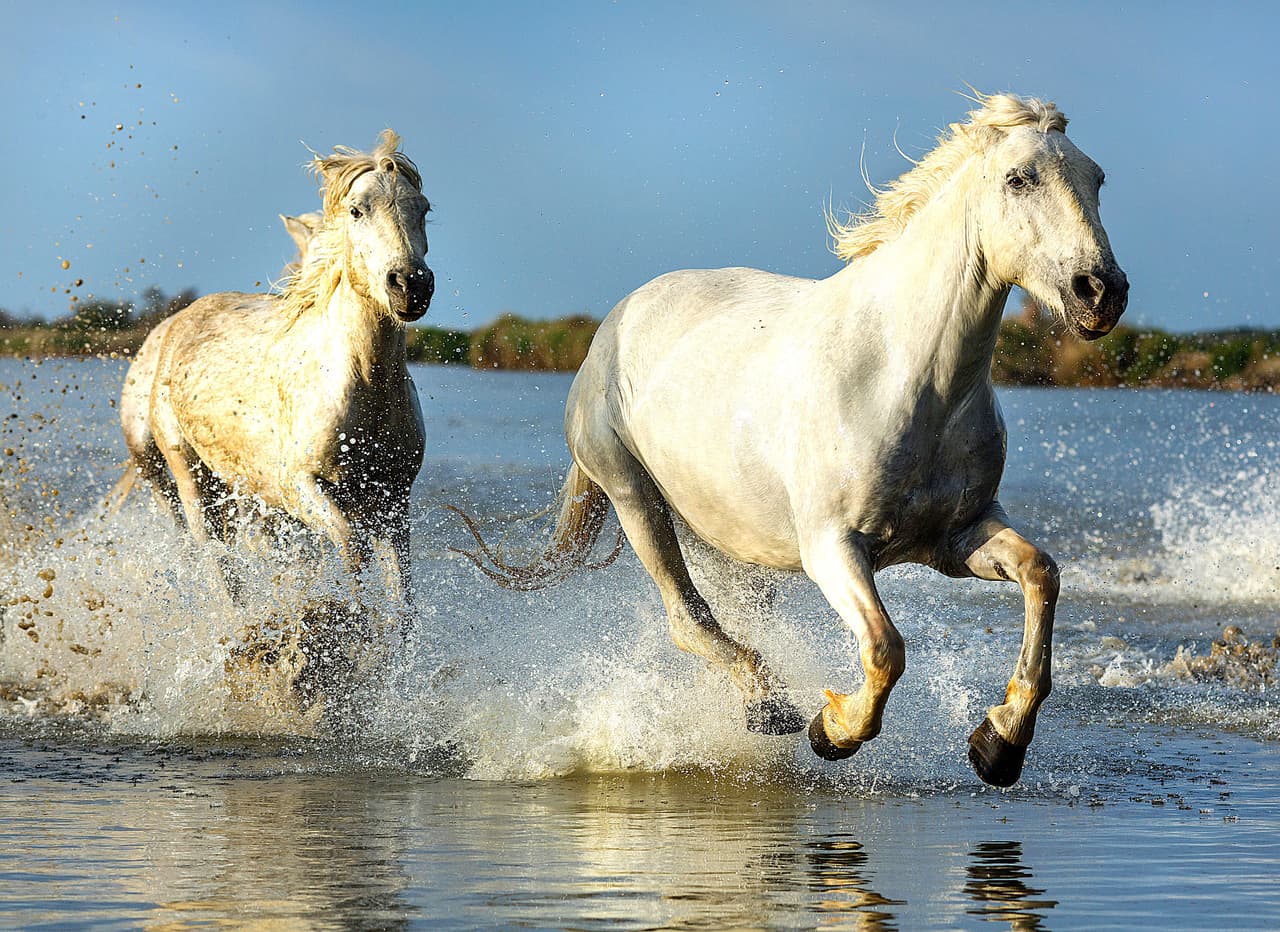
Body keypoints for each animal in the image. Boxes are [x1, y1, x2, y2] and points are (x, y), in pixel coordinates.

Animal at [115, 129, 434, 617]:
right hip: (188, 475)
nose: (410, 285)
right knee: (215, 562)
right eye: (357, 210)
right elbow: (351, 550)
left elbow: (403, 594)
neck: (365, 385)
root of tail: (179, 320)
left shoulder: (393, 498)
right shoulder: (301, 488)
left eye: (424, 210)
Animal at [457, 93, 1127, 787]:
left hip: (727, 538)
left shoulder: (958, 537)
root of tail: (614, 322)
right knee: (686, 616)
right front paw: (832, 729)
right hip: (632, 494)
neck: (910, 379)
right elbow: (885, 649)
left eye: (1097, 179)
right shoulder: (833, 546)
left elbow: (1041, 575)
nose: (1101, 292)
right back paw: (770, 706)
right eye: (1018, 179)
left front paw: (998, 745)